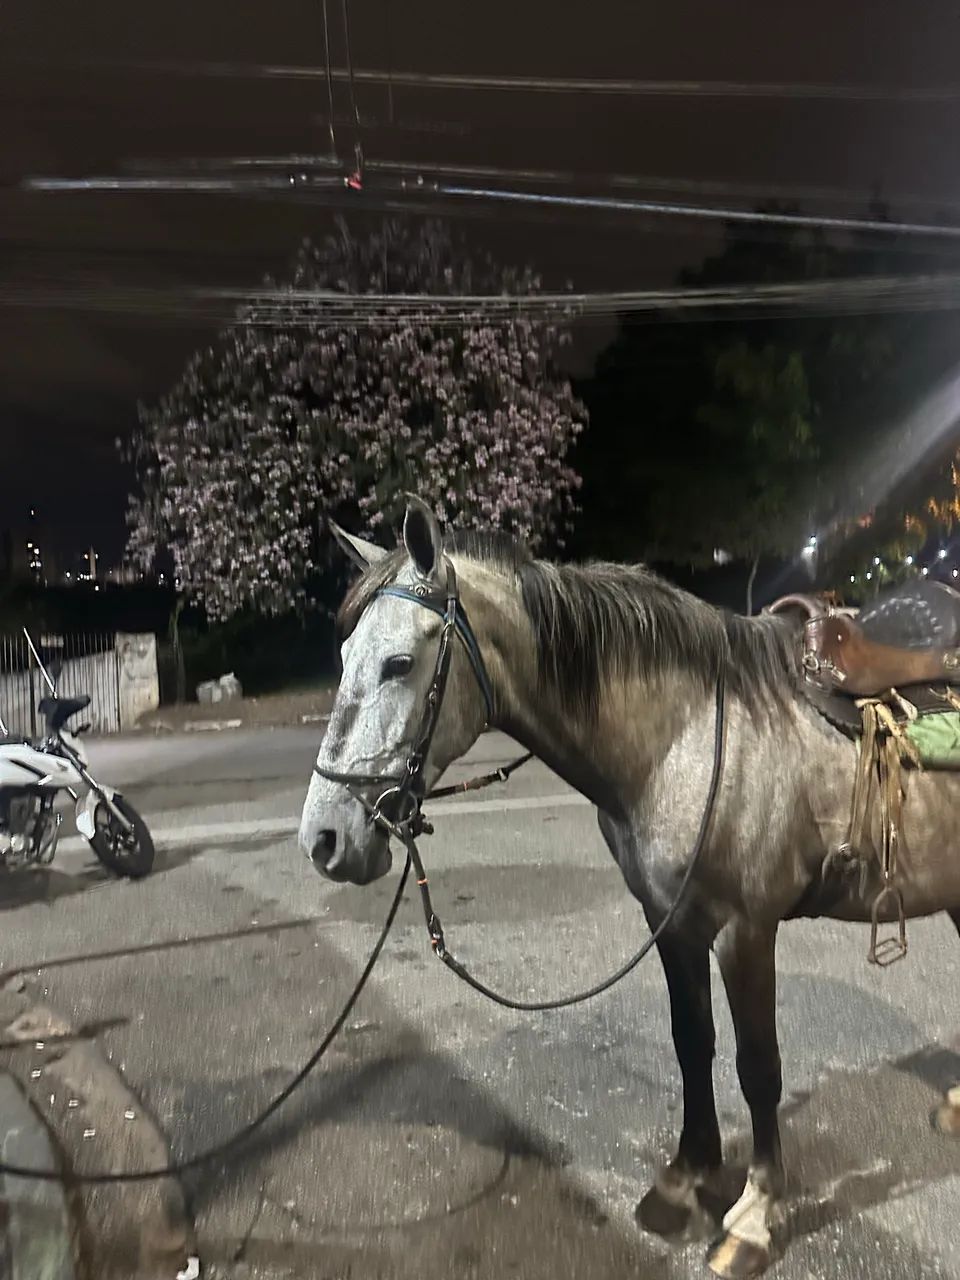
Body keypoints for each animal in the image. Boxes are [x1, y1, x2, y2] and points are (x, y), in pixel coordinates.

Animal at [299, 495, 960, 1278]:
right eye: (343, 659)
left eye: (399, 664)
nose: (323, 839)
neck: (686, 740)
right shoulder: (671, 920)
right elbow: (691, 1042)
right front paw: (687, 1180)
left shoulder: (746, 930)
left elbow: (758, 1066)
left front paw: (756, 1215)